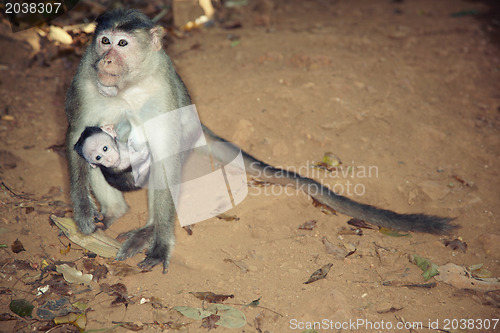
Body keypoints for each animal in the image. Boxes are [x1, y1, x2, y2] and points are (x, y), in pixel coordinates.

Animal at [66, 9, 458, 272]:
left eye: (122, 43)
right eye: (103, 42)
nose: (107, 60)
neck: (126, 87)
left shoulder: (162, 89)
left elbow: (164, 157)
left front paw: (160, 244)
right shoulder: (84, 76)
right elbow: (77, 137)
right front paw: (82, 212)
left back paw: (146, 228)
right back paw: (115, 211)